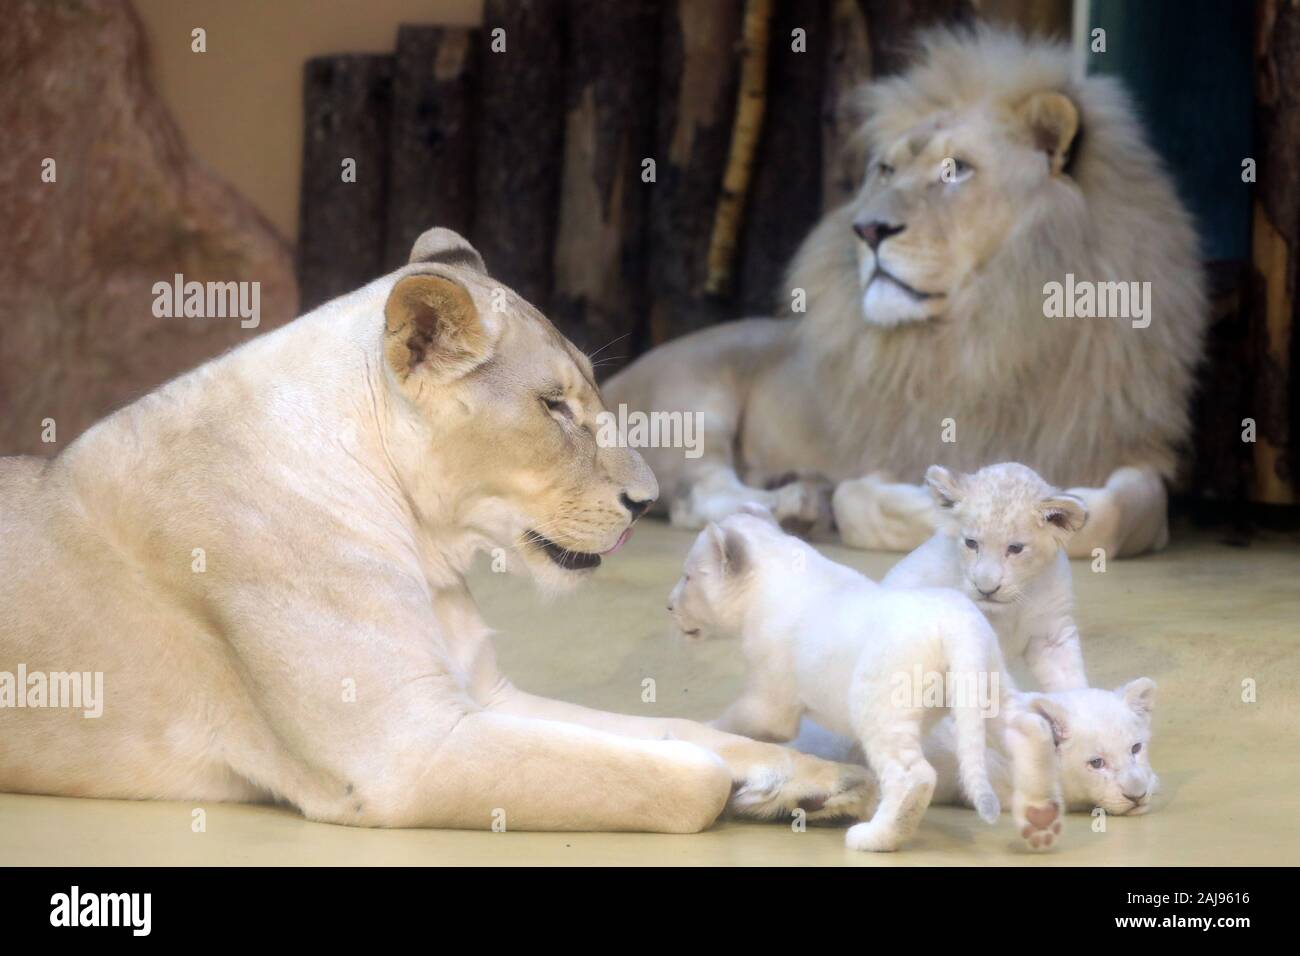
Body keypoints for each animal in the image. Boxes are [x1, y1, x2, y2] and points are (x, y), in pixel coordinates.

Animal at [0, 227, 870, 831]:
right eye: (553, 407)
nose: (650, 500)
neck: (427, 551)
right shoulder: (400, 752)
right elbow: (681, 774)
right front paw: (754, 791)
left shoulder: (483, 694)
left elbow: (672, 728)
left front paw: (816, 780)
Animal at [604, 27, 1207, 559]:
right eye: (887, 169)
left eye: (956, 169)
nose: (868, 229)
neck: (998, 325)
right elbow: (870, 501)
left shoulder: (1119, 445)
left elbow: (1123, 512)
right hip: (695, 403)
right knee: (697, 493)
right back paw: (799, 503)